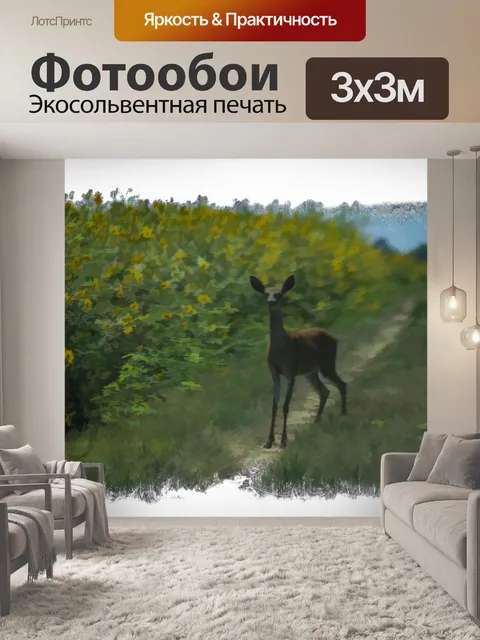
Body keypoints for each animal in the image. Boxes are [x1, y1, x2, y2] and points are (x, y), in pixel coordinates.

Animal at [250, 274, 347, 449]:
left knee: (341, 384)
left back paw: (343, 413)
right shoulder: (274, 373)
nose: (272, 301)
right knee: (325, 391)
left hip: (327, 363)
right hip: (311, 371)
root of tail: (333, 337)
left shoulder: (291, 371)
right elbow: (274, 405)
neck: (280, 349)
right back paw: (317, 421)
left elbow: (286, 406)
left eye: (279, 293)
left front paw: (283, 441)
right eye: (266, 294)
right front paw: (269, 441)